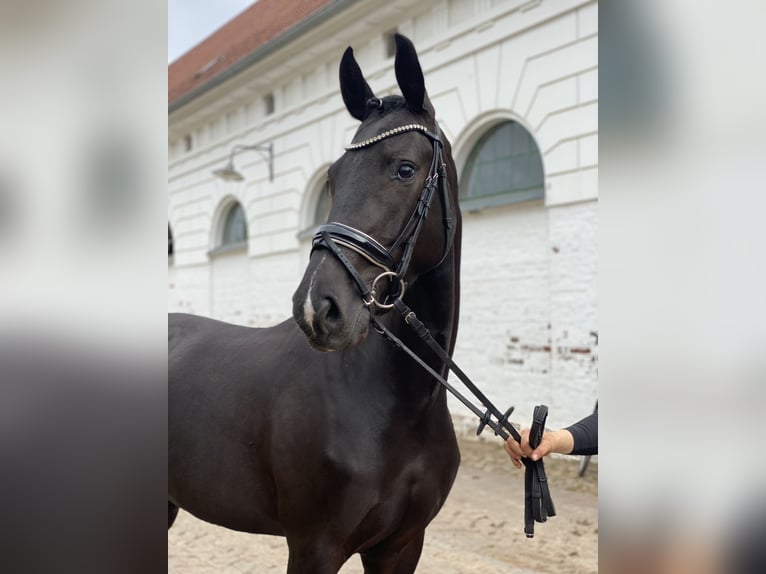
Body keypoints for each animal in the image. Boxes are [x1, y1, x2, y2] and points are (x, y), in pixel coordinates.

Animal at [170, 36, 462, 574]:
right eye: (332, 178)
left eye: (405, 169)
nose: (317, 309)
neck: (405, 406)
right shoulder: (314, 546)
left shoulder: (403, 546)